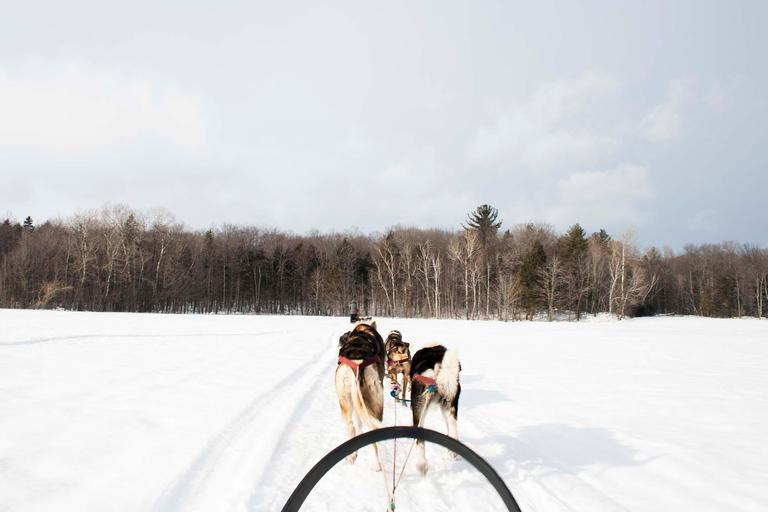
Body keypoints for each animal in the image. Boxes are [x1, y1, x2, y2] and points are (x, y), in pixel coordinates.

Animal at [336, 322, 388, 470]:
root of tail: (357, 366)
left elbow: (358, 422)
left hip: (346, 401)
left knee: (351, 425)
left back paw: (353, 456)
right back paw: (373, 463)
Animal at [408, 344, 462, 476]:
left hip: (419, 408)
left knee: (420, 439)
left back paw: (421, 464)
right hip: (450, 404)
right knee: (452, 427)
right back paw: (452, 451)